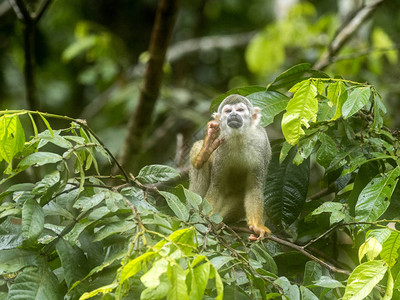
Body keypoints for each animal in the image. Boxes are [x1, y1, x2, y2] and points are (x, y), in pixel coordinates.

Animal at [188, 95, 272, 240]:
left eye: (240, 110)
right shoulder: (221, 144)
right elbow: (217, 186)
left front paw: (257, 226)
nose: (233, 114)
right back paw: (204, 153)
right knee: (200, 164)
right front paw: (207, 218)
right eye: (228, 111)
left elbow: (254, 188)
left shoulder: (261, 143)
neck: (238, 136)